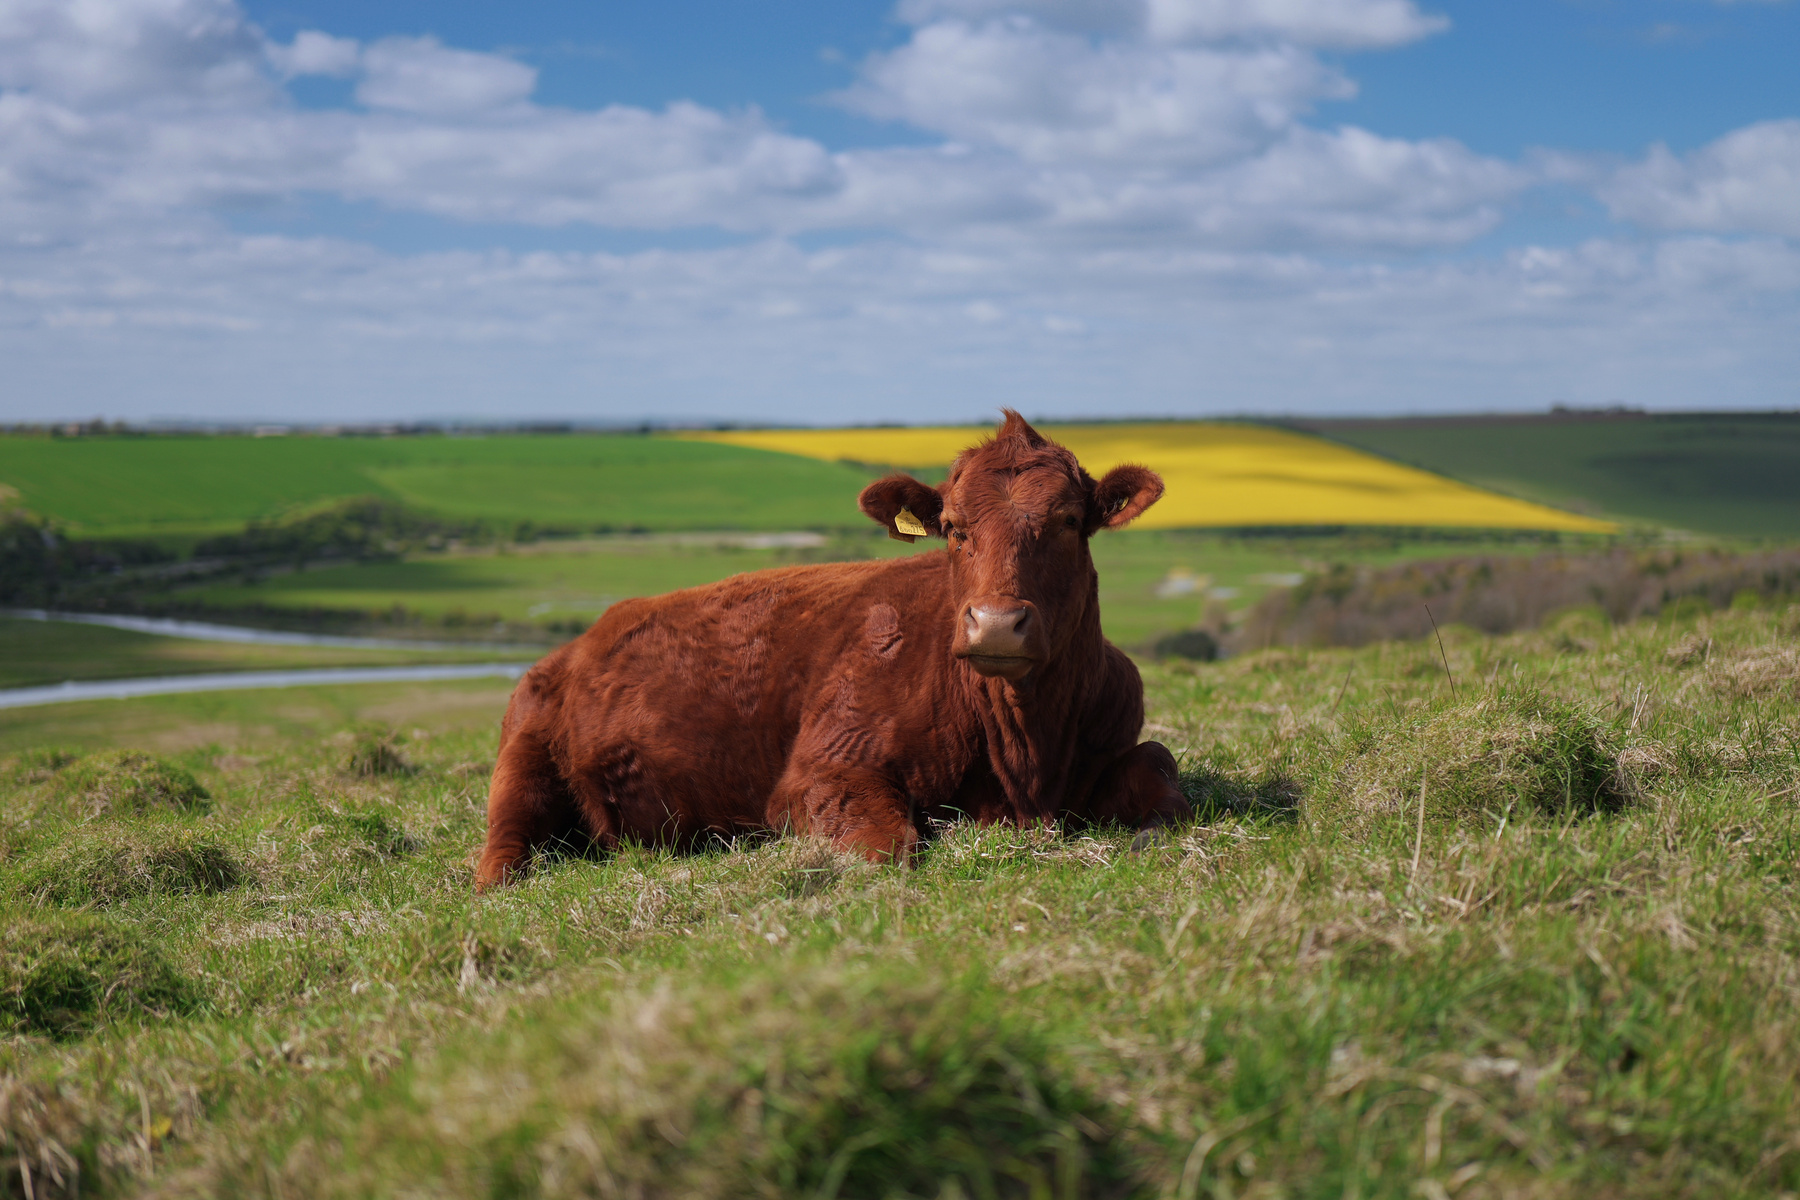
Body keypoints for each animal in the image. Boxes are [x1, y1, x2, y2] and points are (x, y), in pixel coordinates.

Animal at [475, 411, 1190, 888]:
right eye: (953, 529)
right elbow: (887, 847)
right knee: (505, 851)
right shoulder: (824, 769)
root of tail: (584, 638)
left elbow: (1160, 770)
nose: (994, 623)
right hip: (521, 760)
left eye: (1069, 522)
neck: (1024, 759)